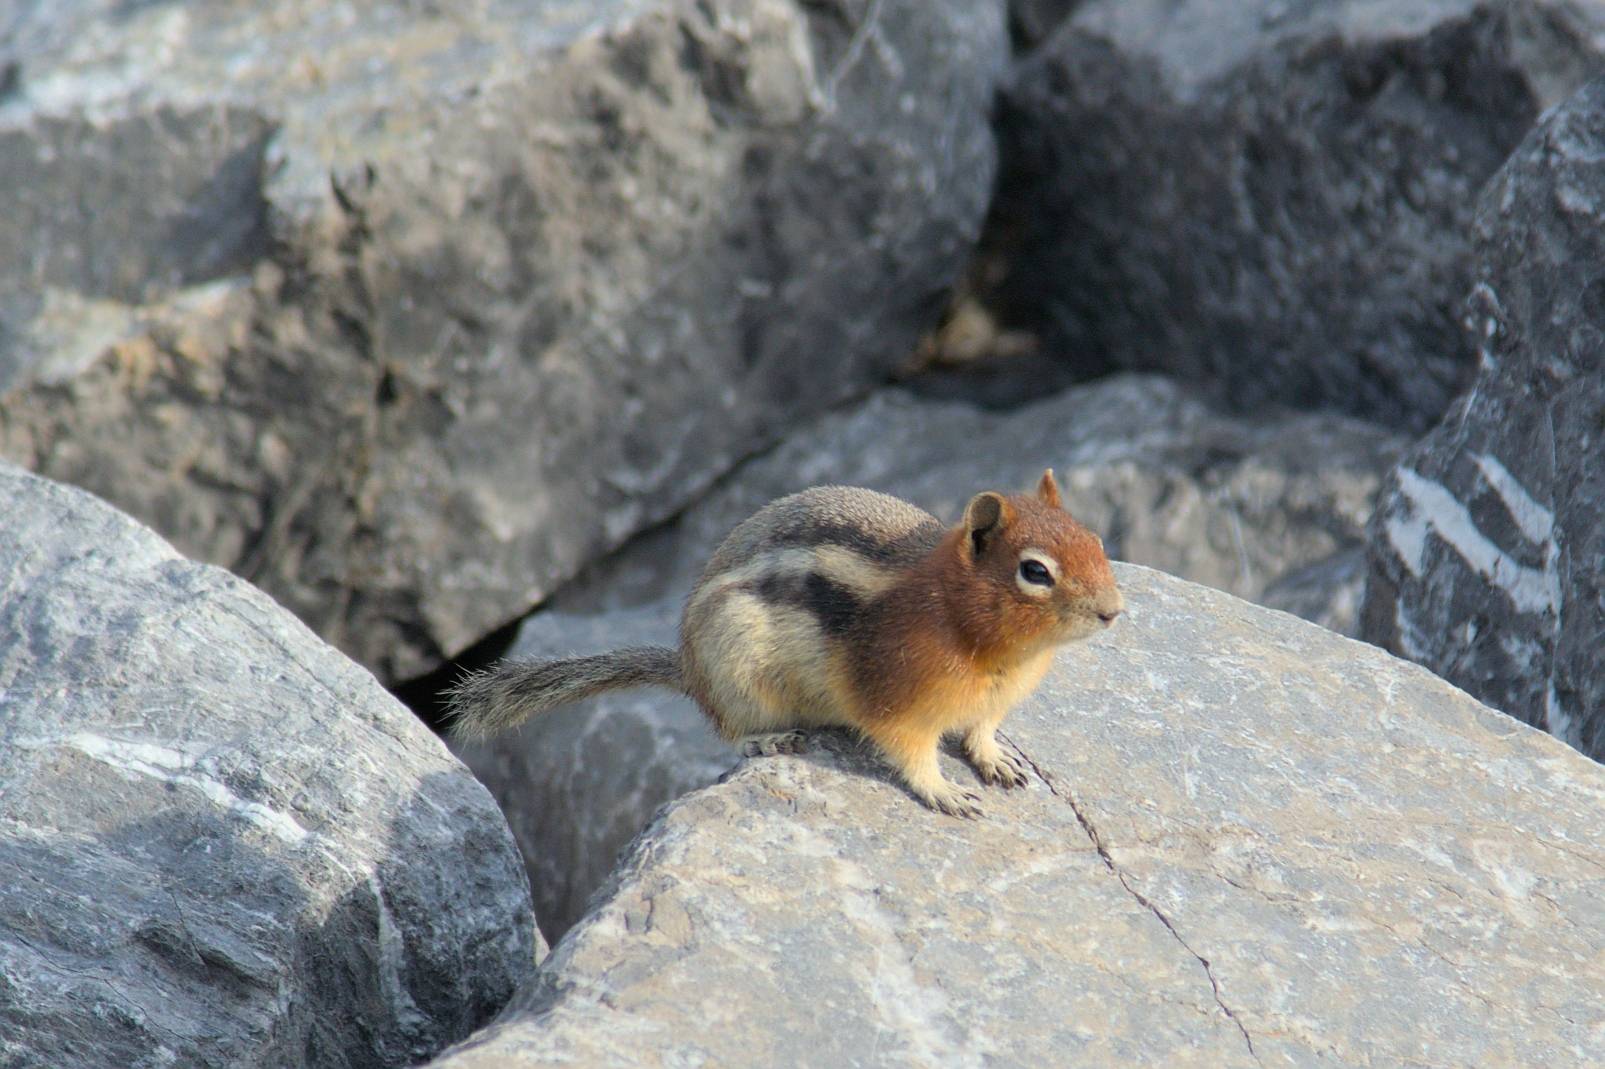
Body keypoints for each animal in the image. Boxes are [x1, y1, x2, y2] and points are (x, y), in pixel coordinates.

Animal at [447, 469, 1123, 817]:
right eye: (1034, 571)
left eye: (1094, 538)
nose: (1114, 612)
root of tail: (688, 668)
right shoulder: (895, 701)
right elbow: (911, 754)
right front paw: (946, 791)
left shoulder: (990, 704)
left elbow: (981, 733)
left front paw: (996, 761)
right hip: (737, 673)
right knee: (728, 730)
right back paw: (767, 738)